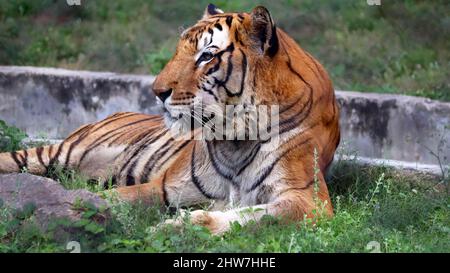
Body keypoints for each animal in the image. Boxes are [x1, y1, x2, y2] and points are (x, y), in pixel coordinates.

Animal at [0, 4, 338, 234]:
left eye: (206, 56)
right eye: (179, 50)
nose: (157, 91)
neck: (234, 140)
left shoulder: (307, 200)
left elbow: (253, 217)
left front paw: (174, 227)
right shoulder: (164, 188)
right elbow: (109, 199)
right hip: (63, 152)